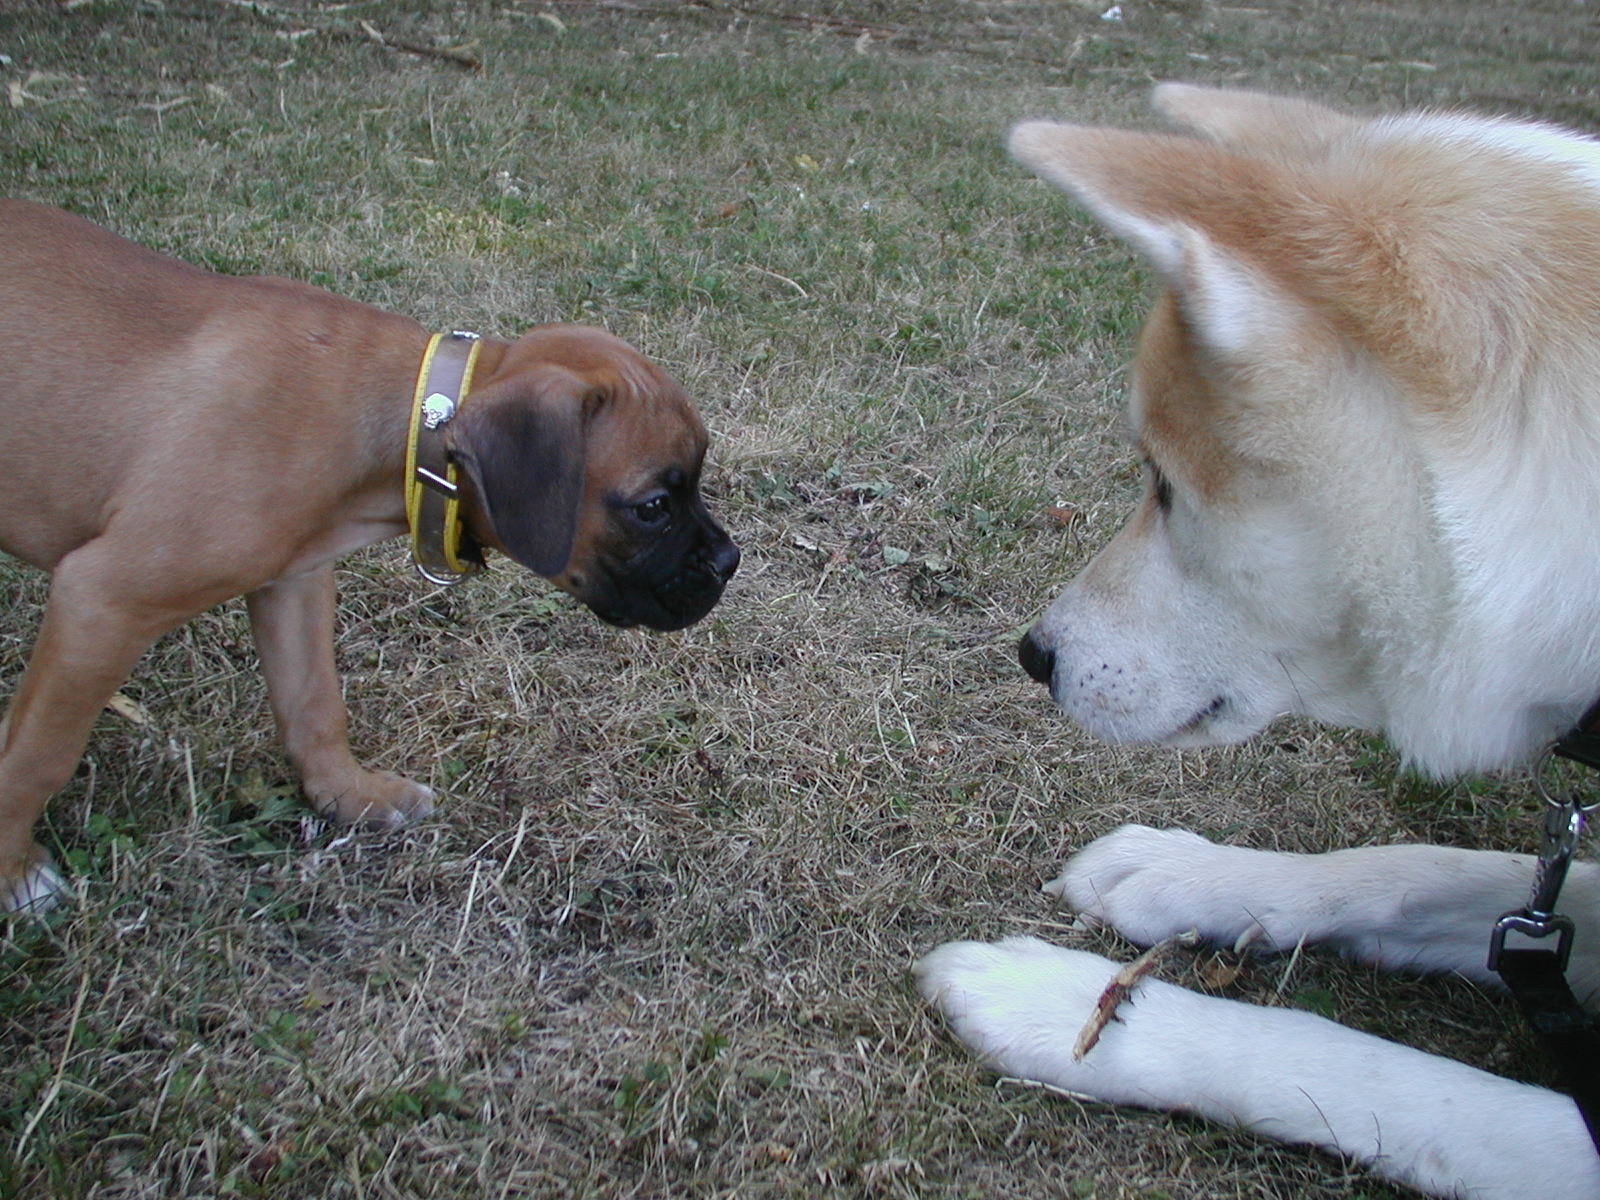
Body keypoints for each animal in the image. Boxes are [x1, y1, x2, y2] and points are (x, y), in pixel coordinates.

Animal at [0, 200, 736, 908]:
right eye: (652, 507)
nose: (729, 562)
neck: (414, 416)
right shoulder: (103, 600)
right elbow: (39, 754)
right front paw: (13, 871)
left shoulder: (295, 582)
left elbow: (314, 703)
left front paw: (349, 795)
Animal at [921, 86, 1600, 1200]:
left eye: (1162, 482)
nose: (1034, 654)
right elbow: (1440, 868)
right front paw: (1188, 872)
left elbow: (1373, 1070)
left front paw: (1063, 1005)